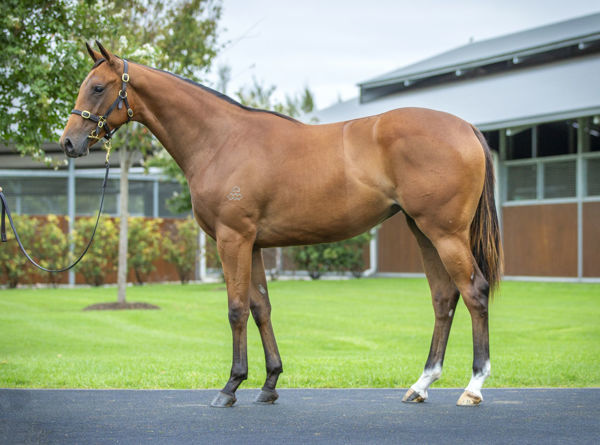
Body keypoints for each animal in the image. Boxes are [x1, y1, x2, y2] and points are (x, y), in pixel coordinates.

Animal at [61, 41, 502, 406]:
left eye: (97, 88)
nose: (68, 142)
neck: (221, 139)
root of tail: (465, 127)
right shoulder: (253, 244)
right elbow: (261, 308)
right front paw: (270, 383)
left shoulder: (232, 239)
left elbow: (237, 309)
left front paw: (230, 386)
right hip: (423, 231)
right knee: (444, 298)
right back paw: (421, 384)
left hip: (445, 234)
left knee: (474, 292)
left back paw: (473, 387)